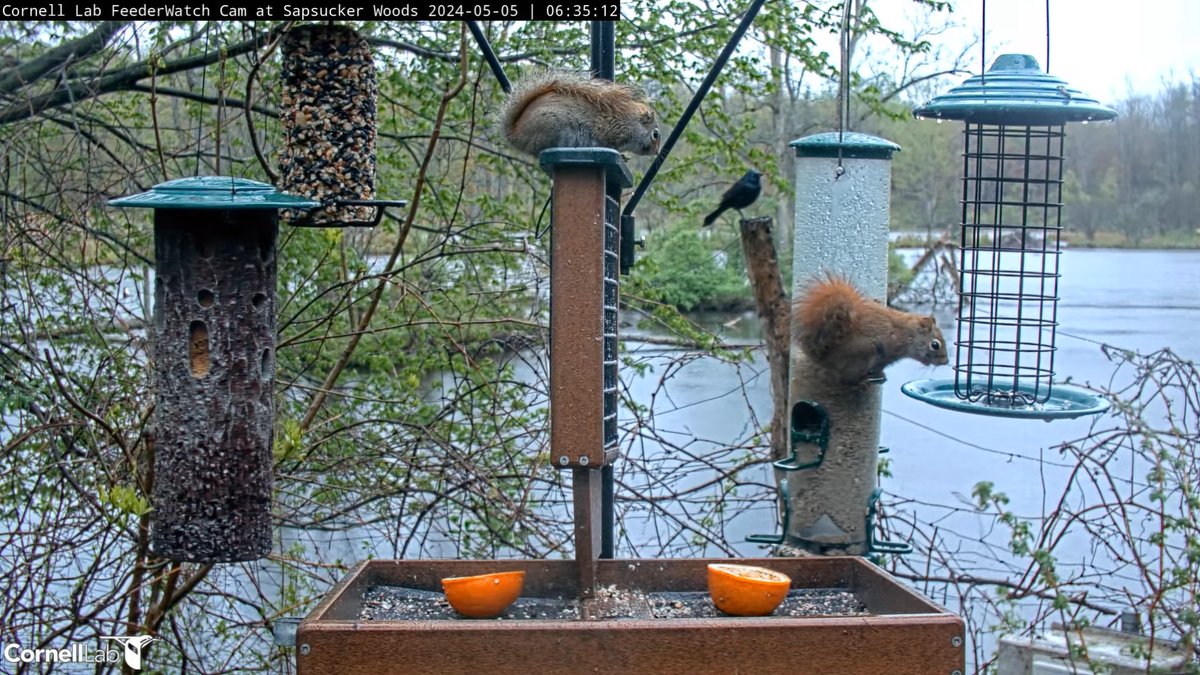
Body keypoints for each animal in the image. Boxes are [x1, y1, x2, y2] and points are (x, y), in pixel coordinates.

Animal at [792, 275, 950, 384]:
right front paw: (879, 375)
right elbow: (880, 366)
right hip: (865, 352)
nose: (945, 362)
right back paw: (862, 380)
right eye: (935, 345)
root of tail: (824, 357)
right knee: (847, 380)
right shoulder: (889, 351)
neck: (907, 334)